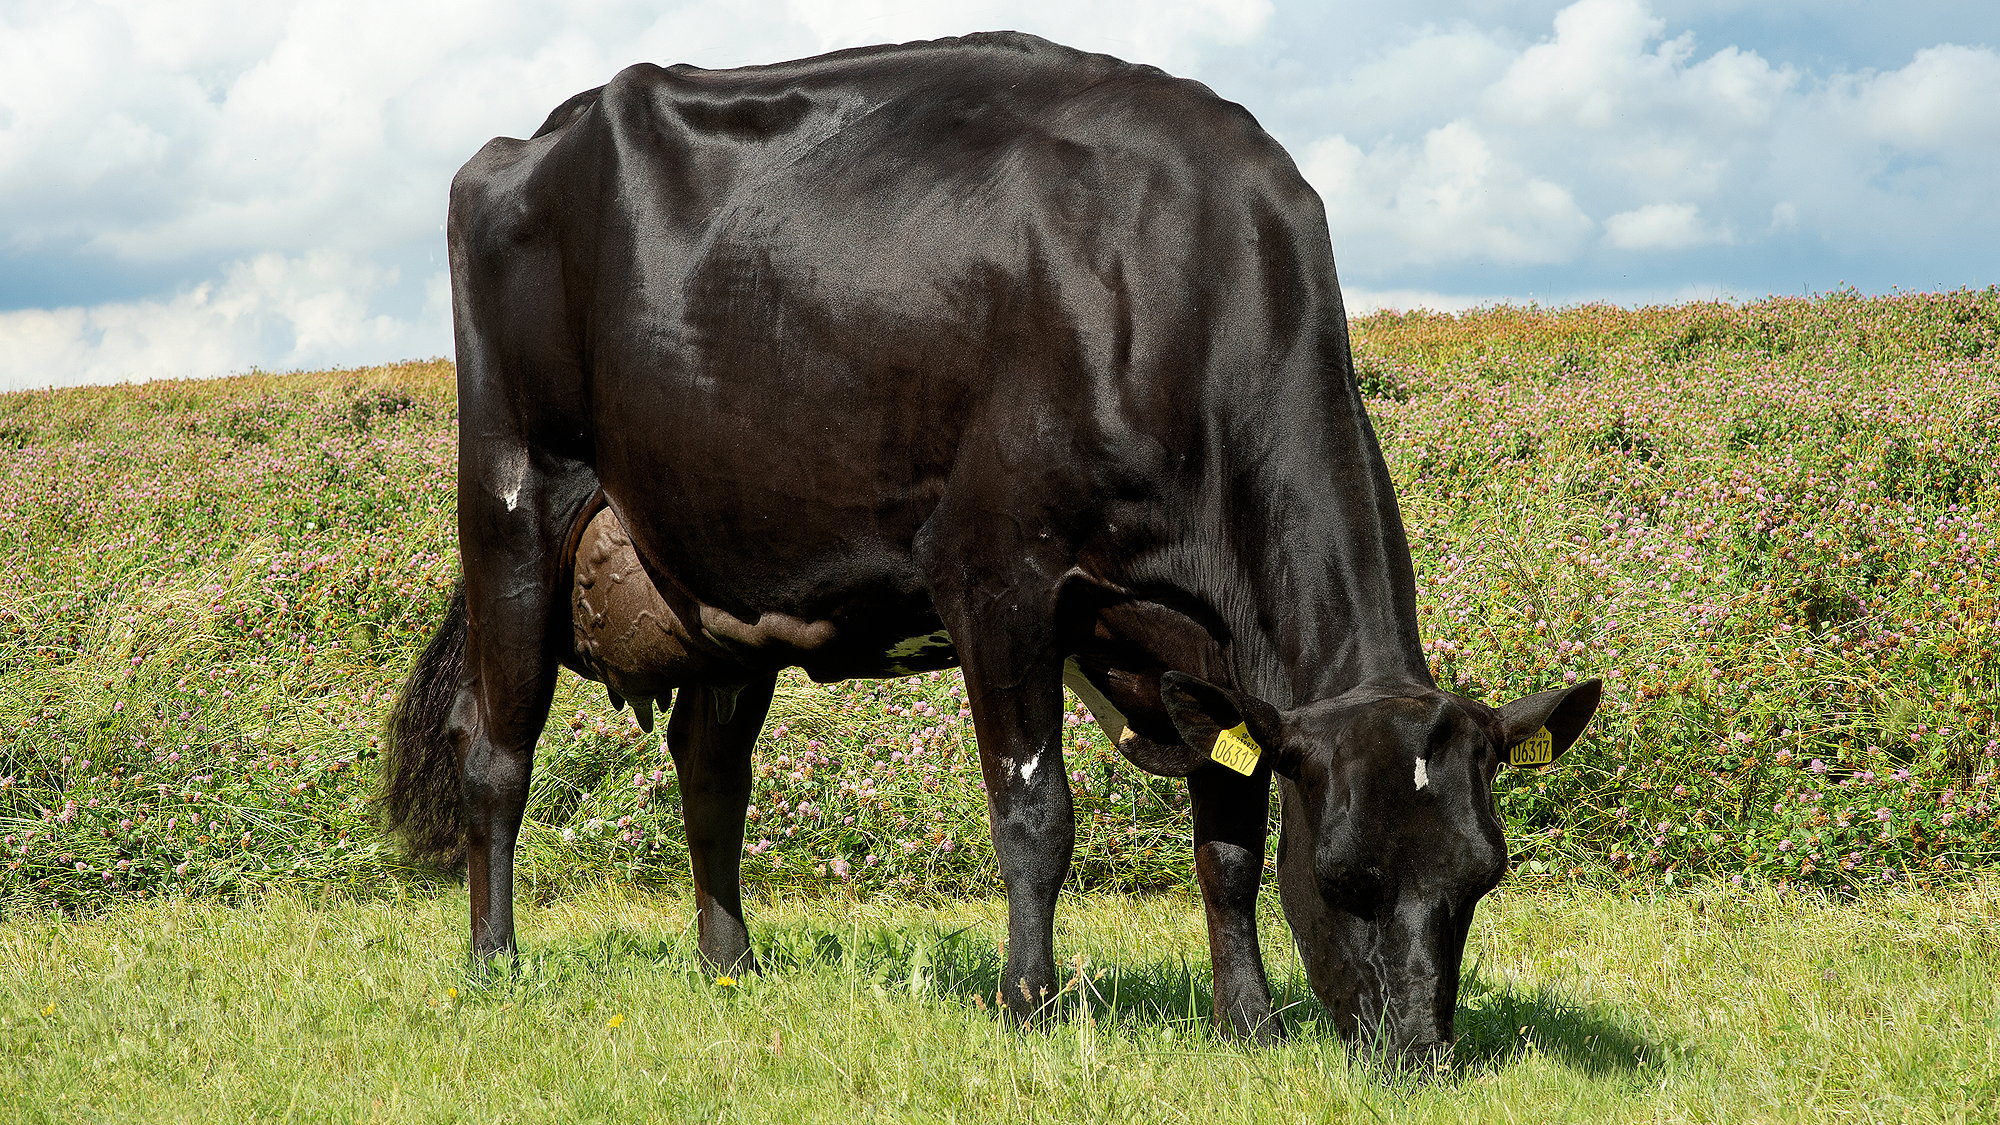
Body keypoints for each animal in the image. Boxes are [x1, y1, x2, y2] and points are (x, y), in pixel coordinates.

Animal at [376, 28, 1600, 1056]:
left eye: (1480, 879)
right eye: (1345, 877)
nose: (1419, 1054)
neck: (1168, 286)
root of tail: (536, 135)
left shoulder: (1207, 650)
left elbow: (1230, 842)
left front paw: (1246, 1022)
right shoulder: (998, 576)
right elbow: (1034, 812)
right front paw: (1030, 1003)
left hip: (722, 564)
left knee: (710, 767)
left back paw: (732, 967)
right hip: (512, 496)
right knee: (495, 753)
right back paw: (495, 962)